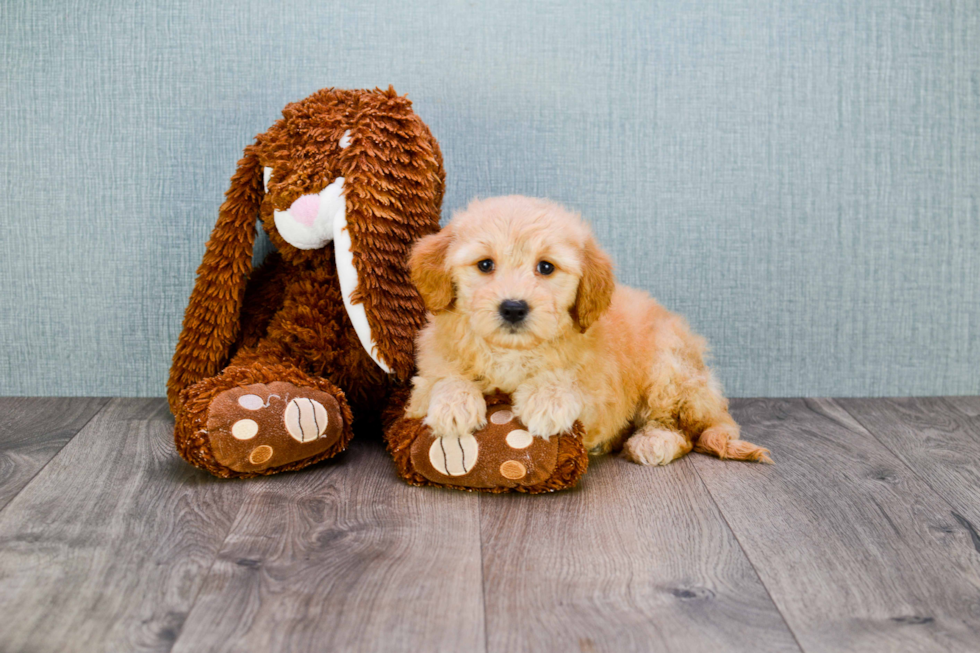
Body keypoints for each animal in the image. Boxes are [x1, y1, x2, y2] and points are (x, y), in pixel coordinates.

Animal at [402, 194, 768, 464]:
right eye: (485, 265)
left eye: (545, 267)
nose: (514, 307)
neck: (513, 352)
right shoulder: (422, 381)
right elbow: (442, 378)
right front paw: (454, 405)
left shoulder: (602, 393)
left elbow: (572, 382)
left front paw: (547, 400)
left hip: (671, 371)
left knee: (684, 431)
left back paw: (654, 441)